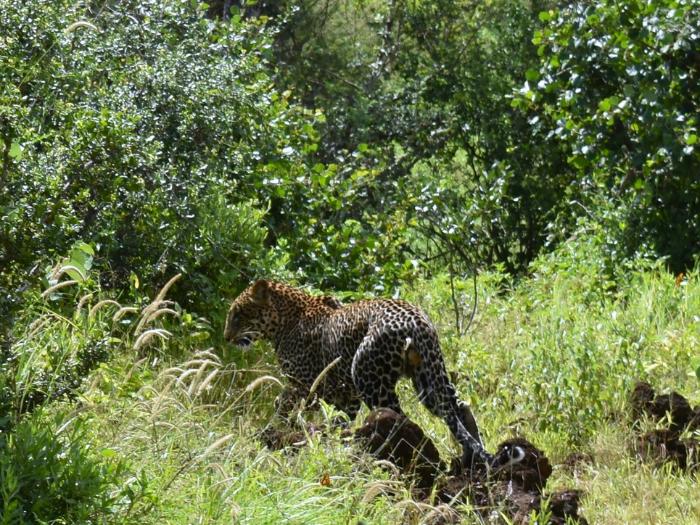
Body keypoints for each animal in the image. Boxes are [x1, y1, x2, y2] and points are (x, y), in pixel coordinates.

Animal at [227, 278, 506, 466]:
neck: (285, 320)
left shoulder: (306, 382)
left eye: (238, 314)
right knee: (458, 407)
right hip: (428, 375)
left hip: (368, 376)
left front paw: (273, 430)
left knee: (399, 418)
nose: (226, 337)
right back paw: (471, 458)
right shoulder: (345, 395)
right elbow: (338, 420)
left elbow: (284, 403)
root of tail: (417, 321)